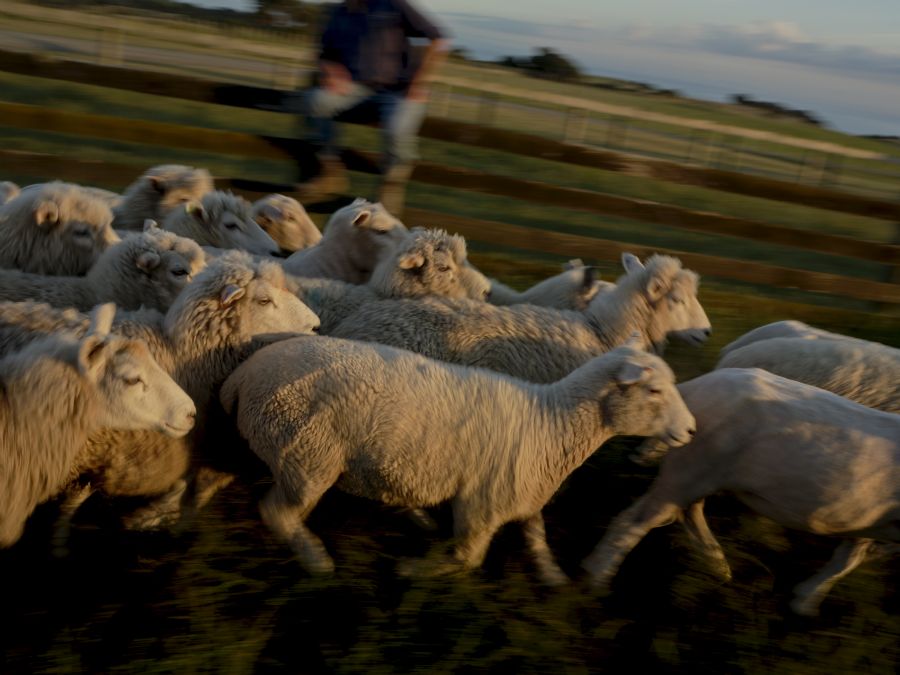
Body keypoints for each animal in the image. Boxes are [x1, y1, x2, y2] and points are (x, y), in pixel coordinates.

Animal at [220, 336, 695, 580]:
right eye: (655, 390)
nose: (691, 430)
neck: (549, 422)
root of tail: (243, 374)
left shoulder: (523, 497)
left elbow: (537, 540)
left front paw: (556, 581)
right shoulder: (481, 506)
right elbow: (467, 558)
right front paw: (413, 570)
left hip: (296, 453)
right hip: (307, 455)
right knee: (277, 512)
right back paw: (316, 560)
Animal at [582, 367, 900, 616]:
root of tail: (692, 388)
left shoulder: (868, 521)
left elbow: (848, 558)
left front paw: (804, 600)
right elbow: (849, 559)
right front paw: (805, 601)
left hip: (699, 474)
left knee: (689, 513)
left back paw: (719, 567)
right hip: (690, 470)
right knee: (635, 521)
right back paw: (596, 578)